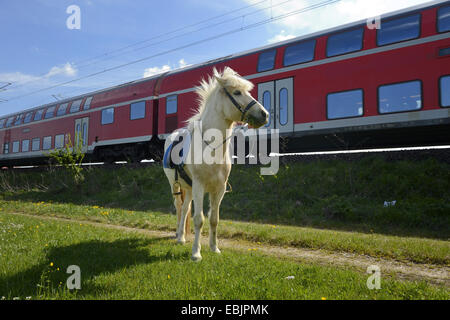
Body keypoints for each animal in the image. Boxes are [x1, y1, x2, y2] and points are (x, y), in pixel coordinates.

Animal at [163, 66, 268, 262]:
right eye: (237, 92)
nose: (264, 115)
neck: (211, 148)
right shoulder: (199, 185)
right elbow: (199, 219)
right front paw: (196, 253)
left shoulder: (219, 189)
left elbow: (214, 219)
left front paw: (214, 248)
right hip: (176, 185)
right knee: (180, 207)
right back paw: (179, 236)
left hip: (189, 188)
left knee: (185, 207)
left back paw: (181, 237)